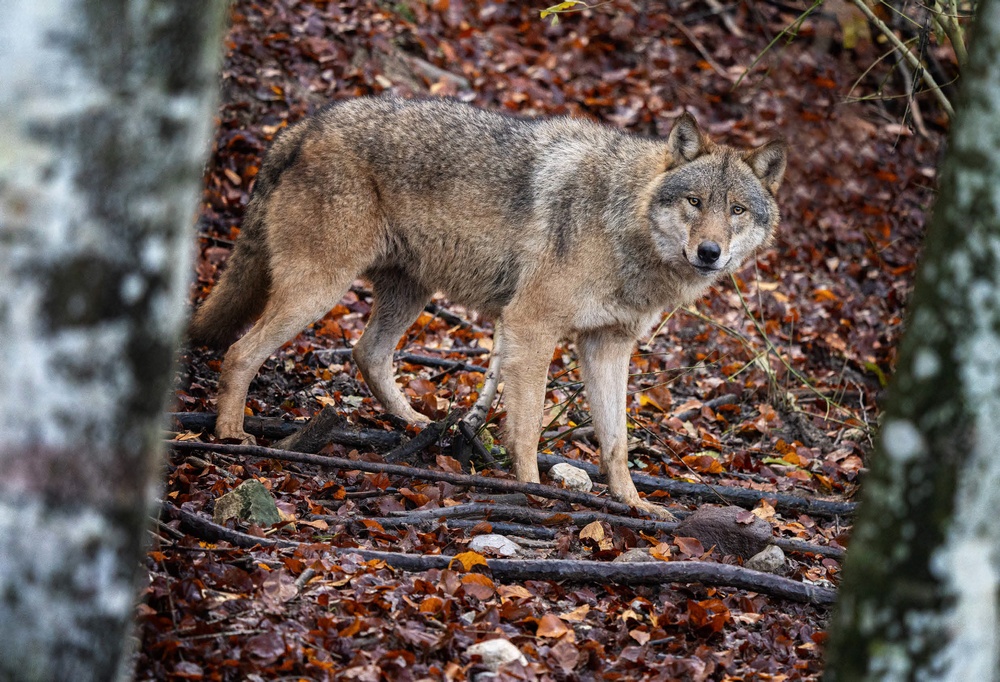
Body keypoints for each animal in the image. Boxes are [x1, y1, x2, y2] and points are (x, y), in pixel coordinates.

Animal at [186, 94, 780, 516]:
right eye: (695, 202)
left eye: (737, 210)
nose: (710, 252)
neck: (623, 222)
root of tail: (302, 126)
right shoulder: (531, 327)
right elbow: (530, 425)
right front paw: (537, 492)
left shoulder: (607, 347)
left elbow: (616, 443)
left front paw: (635, 505)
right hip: (318, 291)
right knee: (240, 352)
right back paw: (232, 434)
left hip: (408, 294)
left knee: (365, 353)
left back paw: (415, 424)